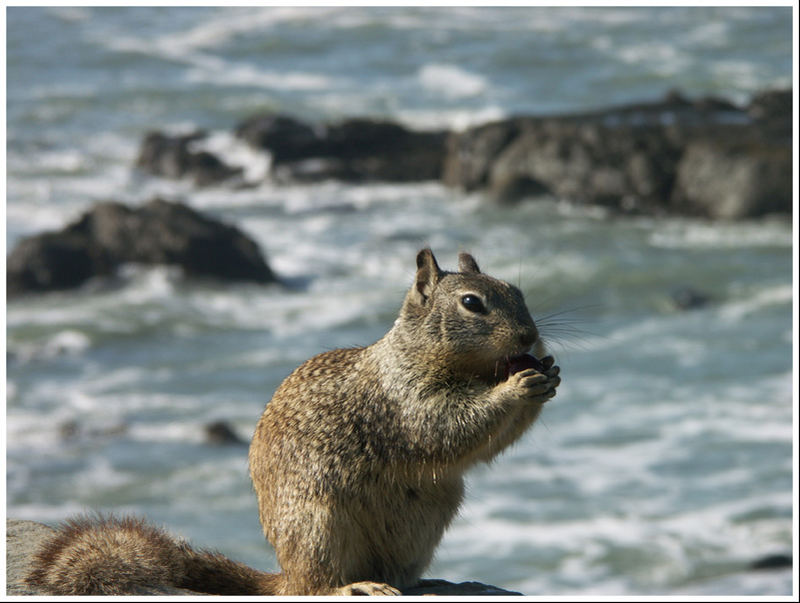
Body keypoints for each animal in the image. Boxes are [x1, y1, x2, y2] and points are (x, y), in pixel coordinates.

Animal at [26, 248, 564, 596]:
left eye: (517, 290)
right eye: (472, 303)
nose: (530, 336)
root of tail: (284, 573)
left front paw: (550, 374)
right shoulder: (405, 399)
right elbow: (448, 428)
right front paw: (516, 388)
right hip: (320, 524)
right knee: (314, 588)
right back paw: (355, 587)